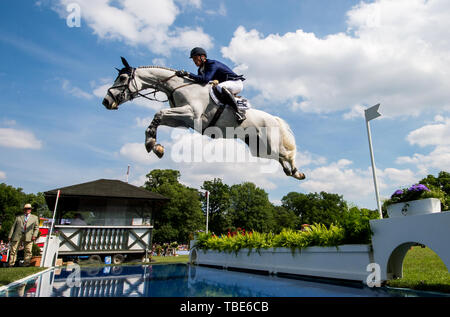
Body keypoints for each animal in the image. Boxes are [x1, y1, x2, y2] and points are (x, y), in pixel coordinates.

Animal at [103, 57, 306, 180]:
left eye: (122, 78)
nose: (106, 101)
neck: (177, 87)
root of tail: (274, 119)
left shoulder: (191, 114)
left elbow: (158, 114)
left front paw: (152, 144)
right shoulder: (182, 120)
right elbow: (158, 119)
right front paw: (155, 145)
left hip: (270, 143)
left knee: (287, 154)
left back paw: (298, 173)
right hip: (259, 148)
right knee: (280, 157)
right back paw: (290, 172)